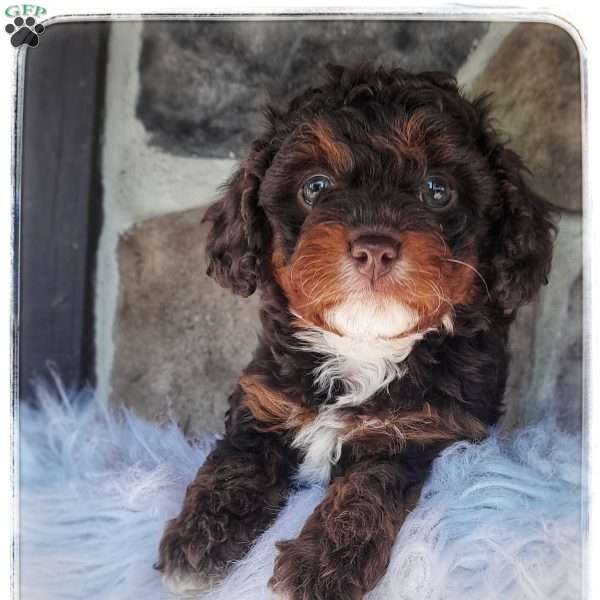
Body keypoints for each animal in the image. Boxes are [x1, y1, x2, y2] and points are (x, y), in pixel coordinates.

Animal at [156, 64, 556, 600]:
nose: (375, 248)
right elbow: (235, 460)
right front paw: (198, 538)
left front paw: (321, 567)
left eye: (437, 190)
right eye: (316, 187)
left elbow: (366, 489)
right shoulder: (264, 401)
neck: (363, 343)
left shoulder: (418, 429)